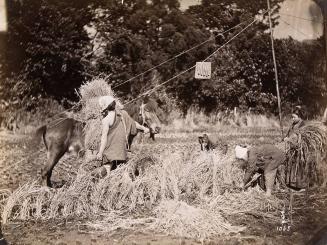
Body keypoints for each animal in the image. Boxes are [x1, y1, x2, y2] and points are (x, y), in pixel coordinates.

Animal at [34, 96, 167, 187]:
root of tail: (48, 126)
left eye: (156, 109)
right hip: (56, 152)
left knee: (48, 172)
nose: (158, 128)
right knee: (45, 171)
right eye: (147, 110)